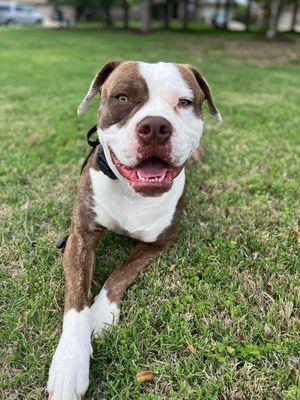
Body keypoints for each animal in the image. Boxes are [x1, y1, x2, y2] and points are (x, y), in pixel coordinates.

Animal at [47, 61, 220, 398]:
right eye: (123, 98)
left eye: (184, 102)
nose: (154, 126)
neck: (132, 193)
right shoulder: (80, 238)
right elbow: (76, 301)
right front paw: (69, 364)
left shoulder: (158, 244)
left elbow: (120, 273)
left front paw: (101, 314)